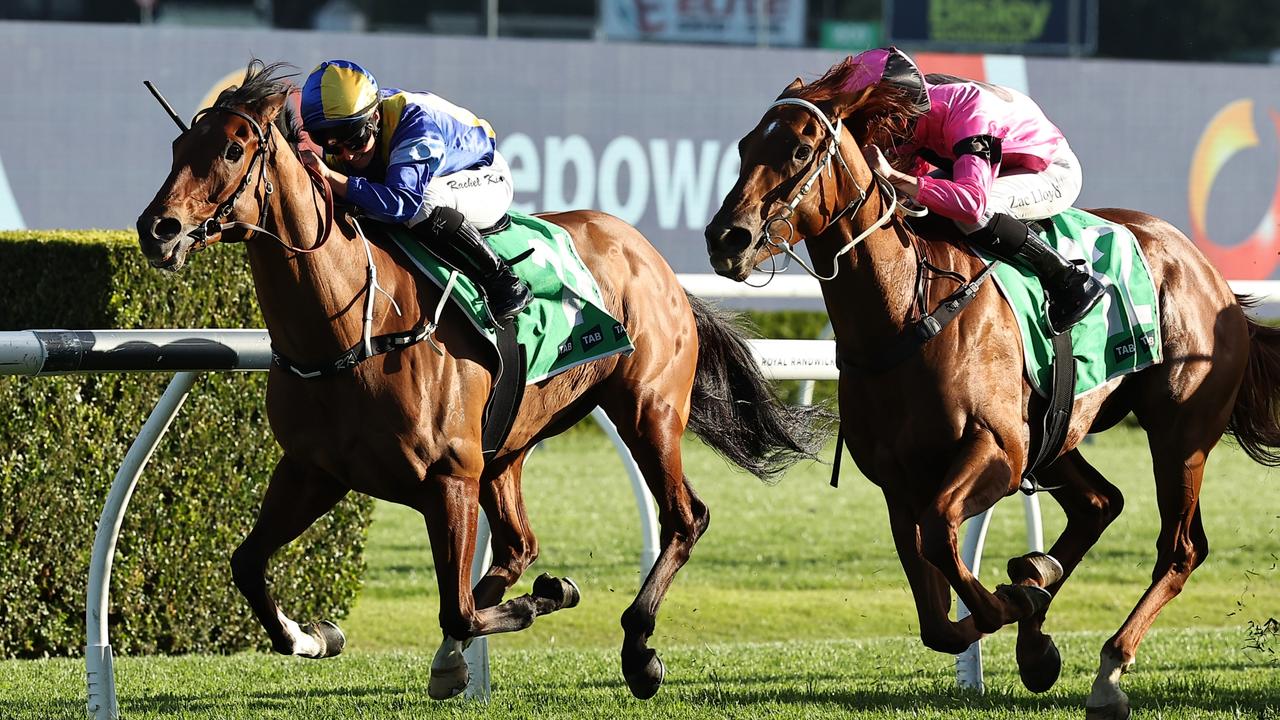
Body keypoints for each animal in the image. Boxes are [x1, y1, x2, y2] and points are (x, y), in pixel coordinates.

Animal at [135, 61, 824, 702]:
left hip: (646, 409)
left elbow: (458, 607)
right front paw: (314, 635)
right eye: (176, 148)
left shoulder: (448, 479)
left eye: (232, 150)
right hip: (507, 446)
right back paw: (466, 649)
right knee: (519, 545)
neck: (353, 327)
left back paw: (635, 649)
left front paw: (541, 602)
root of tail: (654, 260)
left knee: (684, 519)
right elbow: (247, 565)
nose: (157, 228)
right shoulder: (314, 471)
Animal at [706, 63, 1280, 717]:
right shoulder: (898, 483)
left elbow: (942, 535)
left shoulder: (998, 450)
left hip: (1180, 433)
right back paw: (1038, 590)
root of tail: (1213, 279)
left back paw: (1108, 665)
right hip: (1058, 433)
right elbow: (937, 615)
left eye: (801, 150)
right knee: (1100, 503)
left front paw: (1018, 603)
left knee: (1180, 548)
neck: (907, 312)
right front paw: (1029, 615)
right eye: (745, 147)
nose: (725, 238)